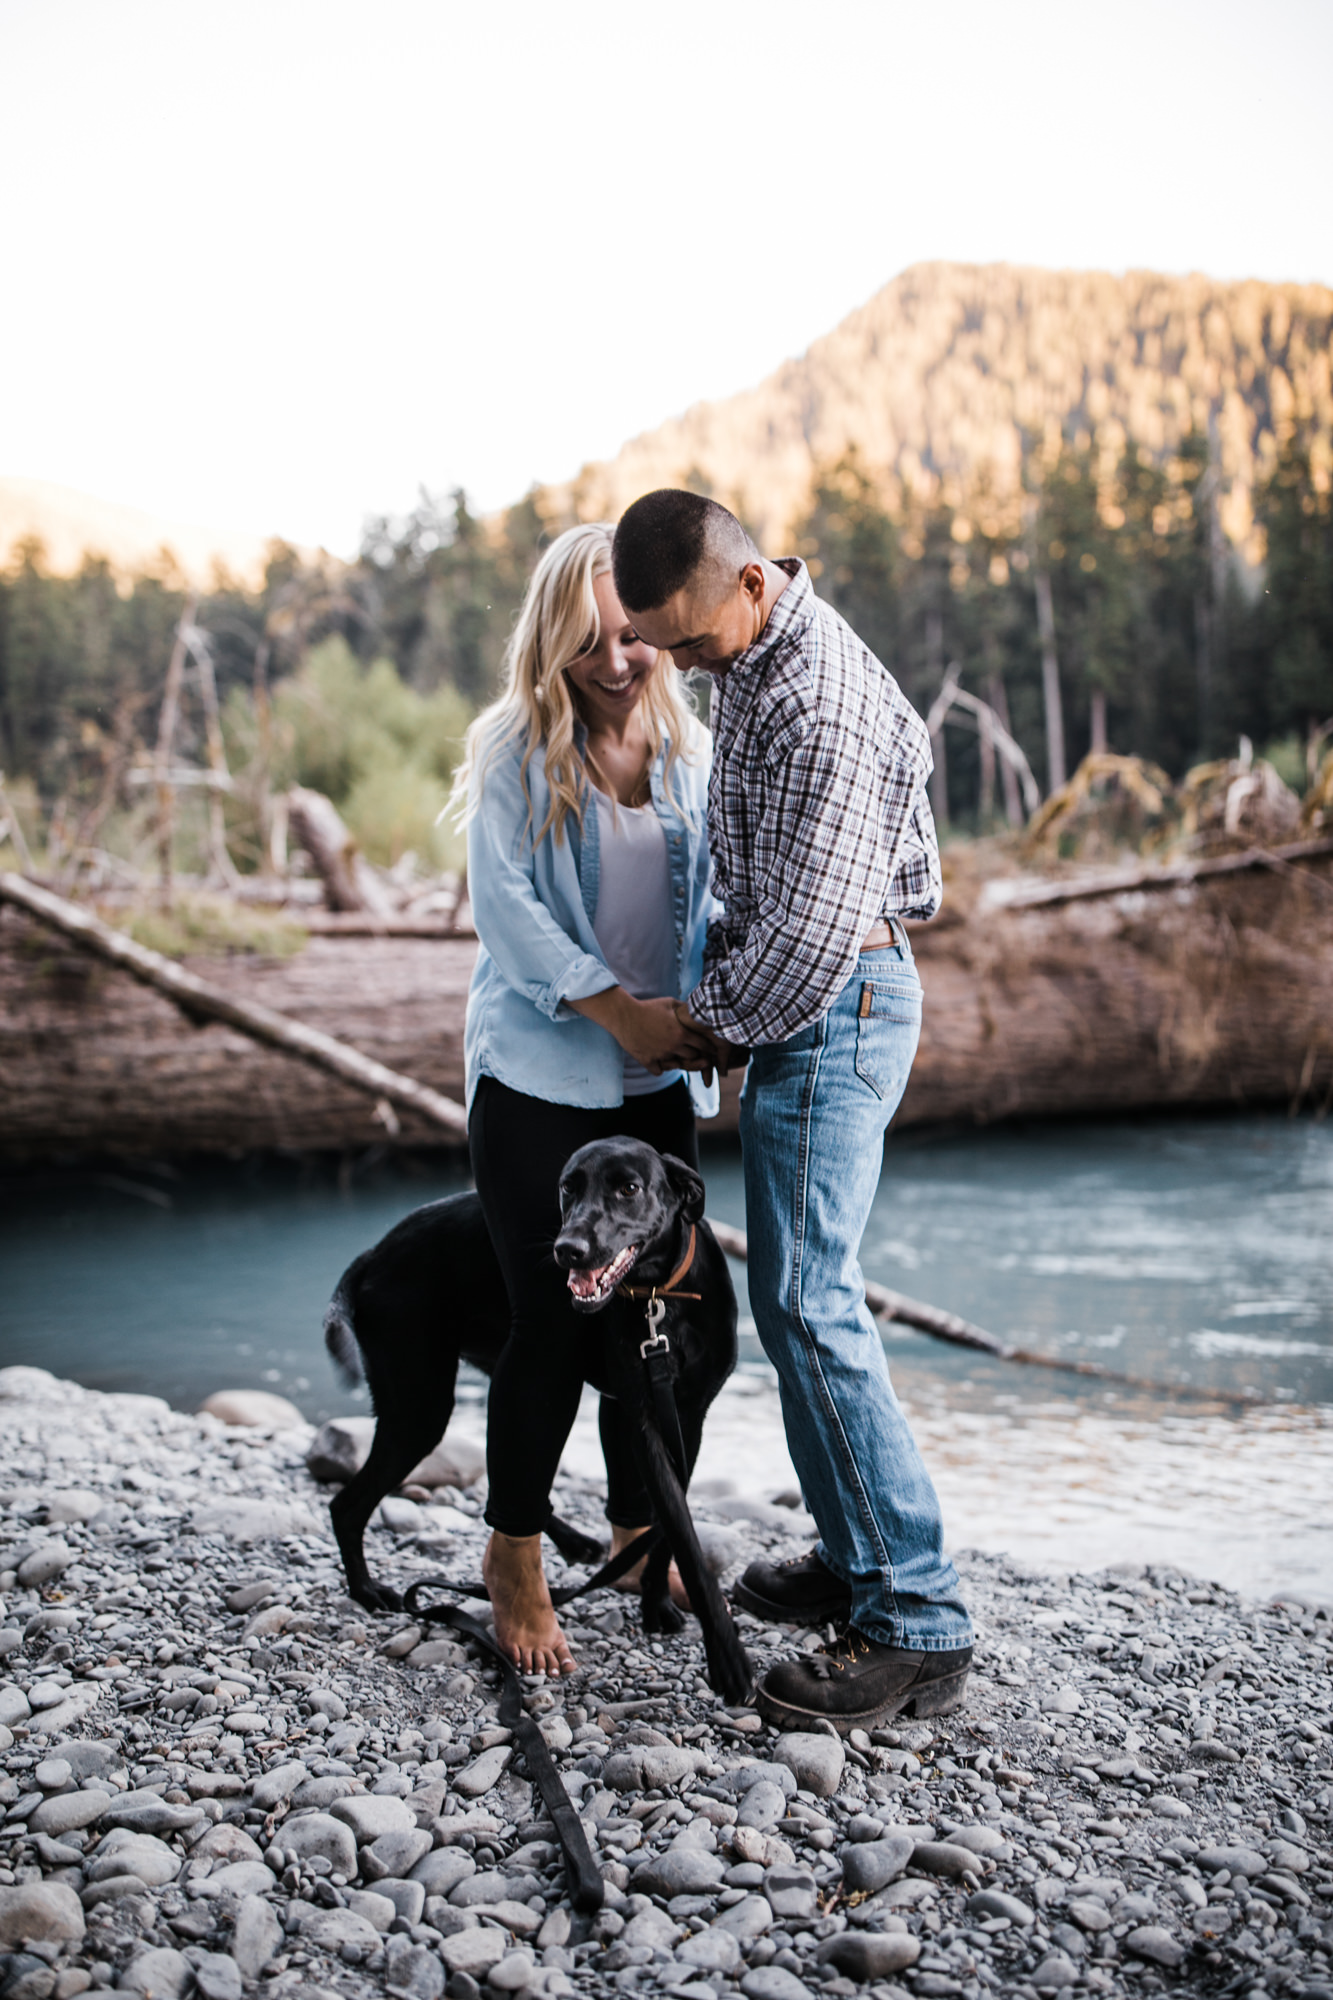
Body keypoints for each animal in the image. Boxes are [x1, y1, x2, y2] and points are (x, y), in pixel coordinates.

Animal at [320, 1144, 748, 1704]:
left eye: (628, 1188)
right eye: (568, 1187)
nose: (568, 1250)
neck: (660, 1295)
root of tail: (372, 1253)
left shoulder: (689, 1418)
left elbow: (666, 1533)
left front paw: (656, 1602)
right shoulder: (647, 1421)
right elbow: (681, 1534)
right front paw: (726, 1658)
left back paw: (576, 1543)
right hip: (424, 1408)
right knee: (347, 1505)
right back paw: (367, 1591)